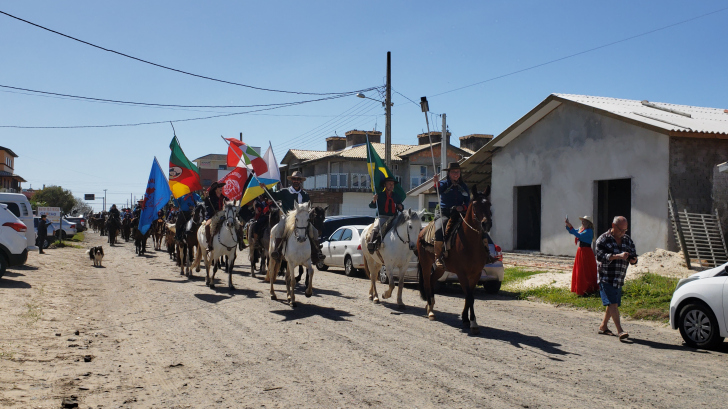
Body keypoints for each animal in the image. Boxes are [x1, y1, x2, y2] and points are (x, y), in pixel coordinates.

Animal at [418, 184, 498, 332]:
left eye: (489, 204)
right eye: (476, 204)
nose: (487, 224)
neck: (470, 242)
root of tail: (422, 231)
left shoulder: (476, 274)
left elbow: (468, 296)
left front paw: (466, 319)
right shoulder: (462, 274)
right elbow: (470, 297)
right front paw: (473, 322)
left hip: (441, 269)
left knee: (432, 280)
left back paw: (430, 306)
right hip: (425, 264)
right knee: (426, 283)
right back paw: (430, 311)